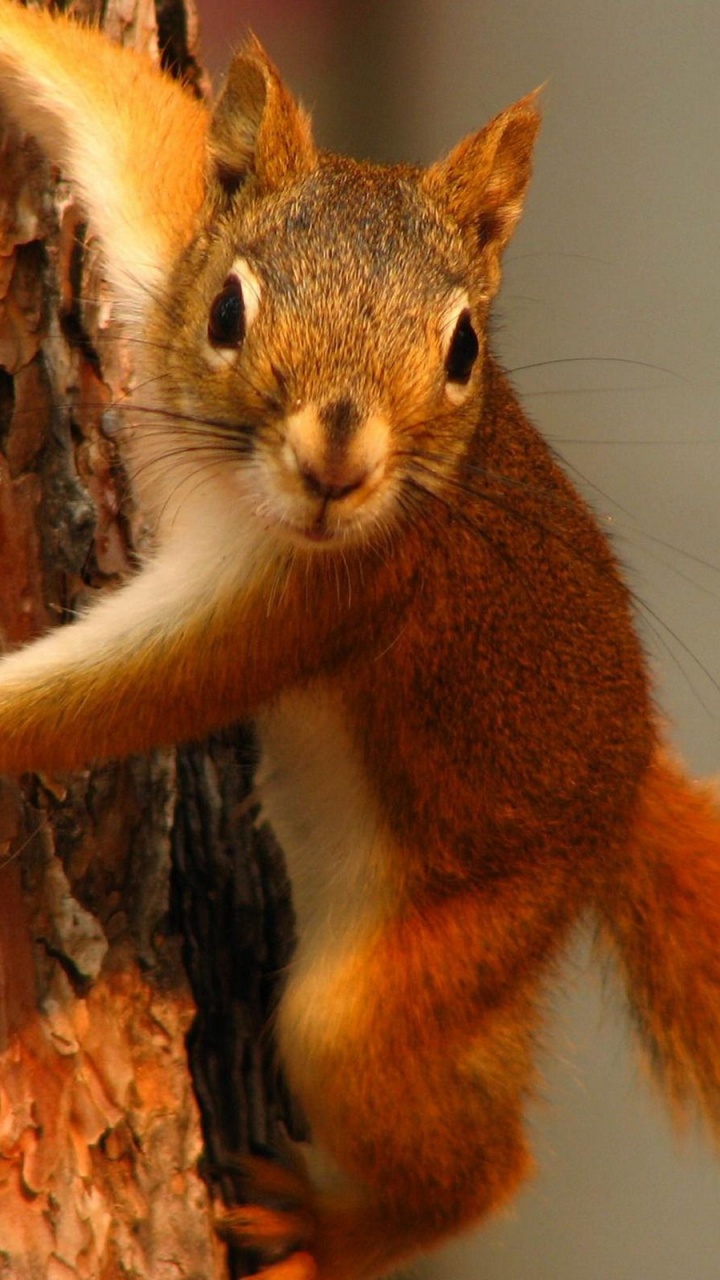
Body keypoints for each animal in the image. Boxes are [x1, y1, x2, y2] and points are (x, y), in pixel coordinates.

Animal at [0, 2, 717, 1280]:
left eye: (465, 347)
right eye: (228, 310)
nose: (338, 464)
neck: (231, 479)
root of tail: (627, 787)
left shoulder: (315, 600)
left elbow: (120, 692)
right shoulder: (162, 245)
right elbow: (130, 114)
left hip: (429, 967)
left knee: (473, 1161)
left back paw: (323, 1231)